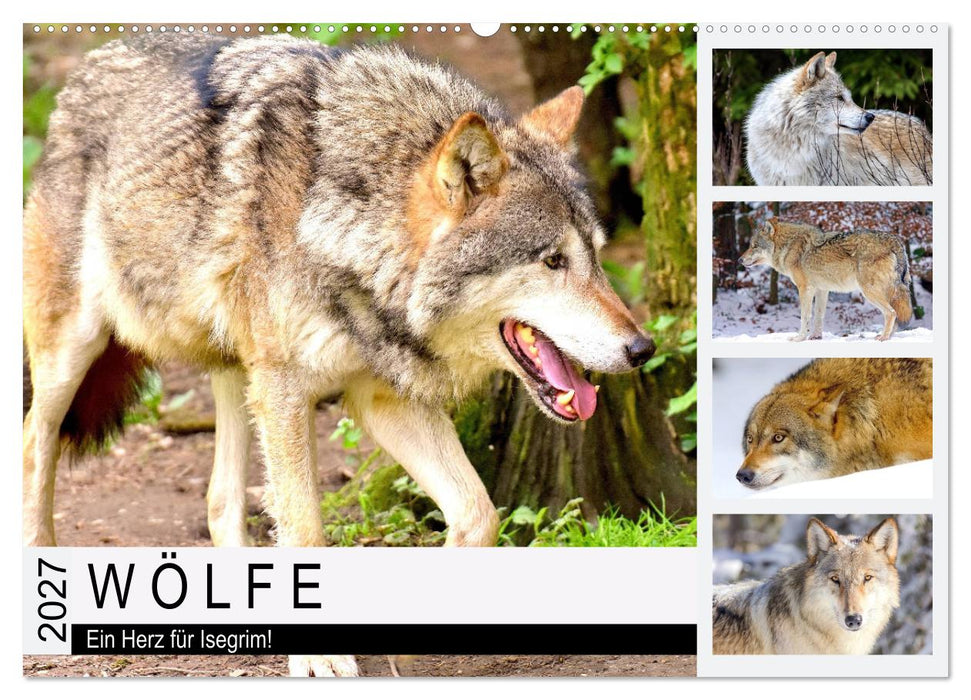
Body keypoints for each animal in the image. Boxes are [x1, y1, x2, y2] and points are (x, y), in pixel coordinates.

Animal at [22, 35, 656, 676]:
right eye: (553, 261)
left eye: (597, 257)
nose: (642, 348)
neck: (346, 225)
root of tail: (89, 65)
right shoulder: (287, 389)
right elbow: (305, 528)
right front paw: (322, 657)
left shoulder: (382, 397)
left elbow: (479, 514)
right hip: (77, 349)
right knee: (33, 441)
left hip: (238, 373)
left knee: (220, 501)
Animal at [738, 220, 913, 341]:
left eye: (754, 246)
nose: (739, 260)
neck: (788, 246)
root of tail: (895, 240)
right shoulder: (822, 290)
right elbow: (819, 315)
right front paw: (815, 337)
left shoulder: (805, 289)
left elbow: (805, 316)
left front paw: (799, 338)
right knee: (894, 314)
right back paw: (888, 336)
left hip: (869, 292)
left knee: (891, 312)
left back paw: (884, 337)